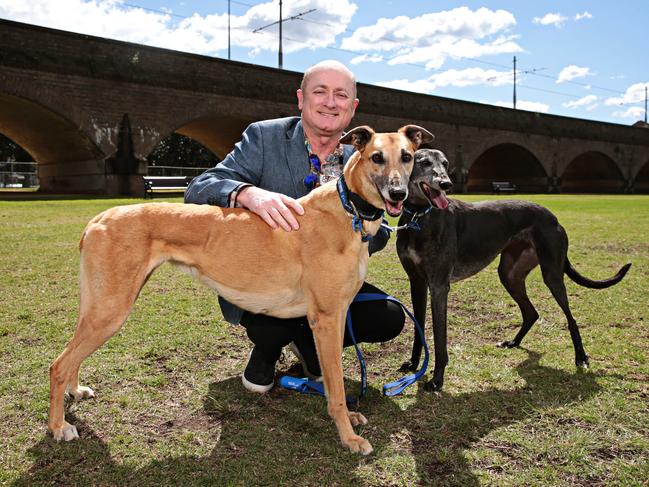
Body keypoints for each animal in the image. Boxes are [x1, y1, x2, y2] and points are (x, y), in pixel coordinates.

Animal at [48, 124, 432, 456]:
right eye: (376, 157)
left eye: (408, 156)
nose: (398, 194)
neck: (348, 208)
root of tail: (98, 219)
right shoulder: (327, 317)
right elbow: (336, 387)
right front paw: (349, 437)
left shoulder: (335, 317)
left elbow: (332, 379)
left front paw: (349, 418)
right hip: (110, 311)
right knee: (58, 364)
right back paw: (57, 426)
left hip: (100, 308)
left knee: (72, 357)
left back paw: (74, 391)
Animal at [398, 149, 632, 392]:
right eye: (424, 162)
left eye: (445, 164)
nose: (447, 184)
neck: (419, 217)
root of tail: (552, 217)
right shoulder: (417, 282)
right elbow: (419, 327)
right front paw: (414, 364)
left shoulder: (439, 285)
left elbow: (439, 336)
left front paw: (437, 380)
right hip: (510, 275)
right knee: (531, 312)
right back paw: (514, 342)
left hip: (552, 274)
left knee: (570, 318)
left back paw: (581, 357)